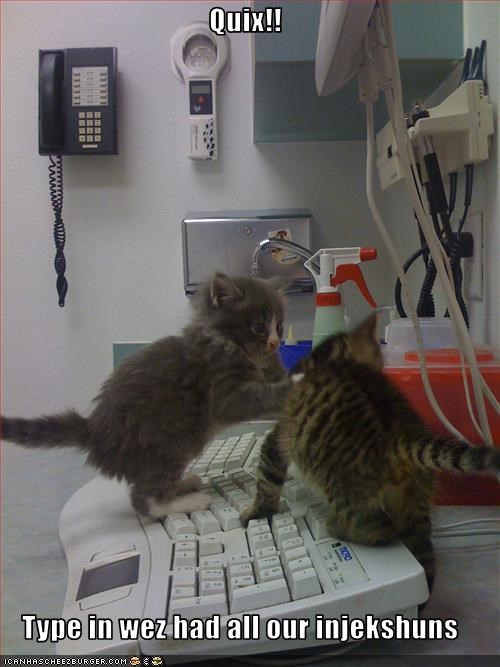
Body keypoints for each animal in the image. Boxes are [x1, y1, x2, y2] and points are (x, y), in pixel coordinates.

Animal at [2, 273, 292, 518]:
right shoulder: (223, 391)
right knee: (145, 501)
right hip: (167, 445)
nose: (275, 342)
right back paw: (189, 500)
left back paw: (184, 483)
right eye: (258, 327)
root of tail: (94, 429)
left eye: (279, 325)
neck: (227, 343)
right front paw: (291, 387)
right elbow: (257, 398)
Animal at [241, 313, 499, 594]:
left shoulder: (278, 440)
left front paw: (253, 513)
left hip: (344, 490)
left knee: (378, 528)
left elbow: (266, 482)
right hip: (416, 504)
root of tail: (399, 434)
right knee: (422, 550)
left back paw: (336, 526)